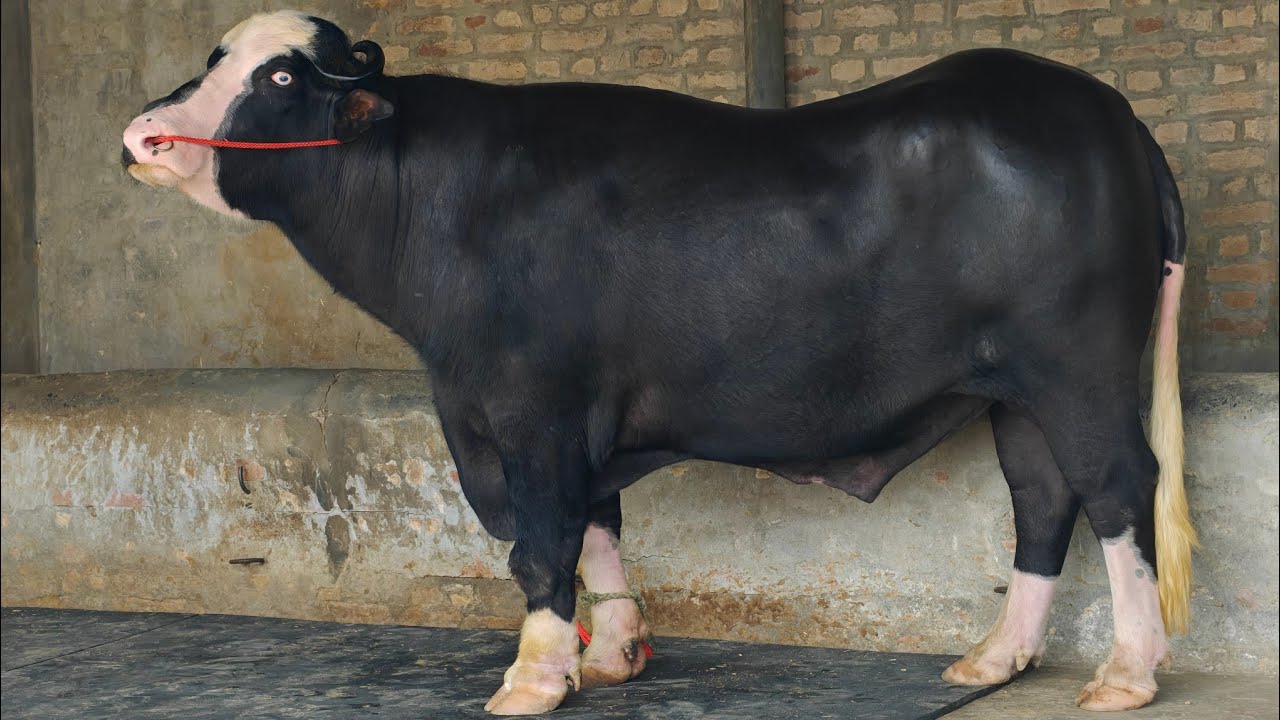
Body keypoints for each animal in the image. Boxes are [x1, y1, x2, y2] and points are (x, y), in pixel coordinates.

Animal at [121, 10, 1197, 715]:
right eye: (216, 56)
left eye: (281, 79)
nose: (139, 135)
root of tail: (1101, 108)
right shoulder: (566, 414)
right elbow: (598, 524)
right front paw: (608, 654)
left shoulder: (530, 408)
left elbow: (541, 540)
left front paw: (532, 677)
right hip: (1009, 390)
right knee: (1042, 498)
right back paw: (994, 659)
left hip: (1077, 367)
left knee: (1115, 486)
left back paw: (1127, 672)